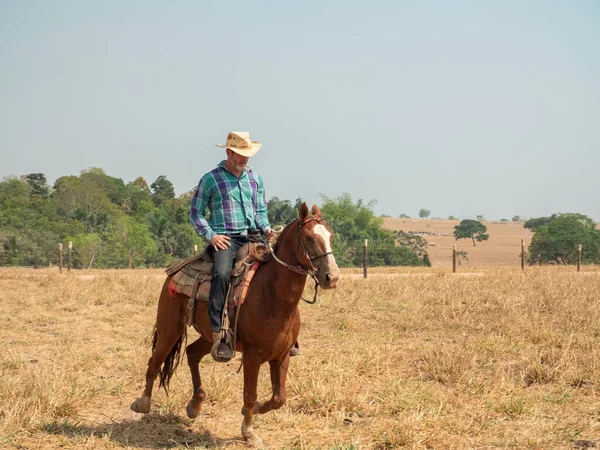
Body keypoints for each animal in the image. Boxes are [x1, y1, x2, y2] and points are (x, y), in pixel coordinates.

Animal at [131, 203, 338, 446]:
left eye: (330, 236)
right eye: (309, 238)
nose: (332, 277)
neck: (272, 294)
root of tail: (176, 269)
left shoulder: (282, 355)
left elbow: (279, 398)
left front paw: (257, 409)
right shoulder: (252, 355)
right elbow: (250, 394)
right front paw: (249, 433)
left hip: (213, 338)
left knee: (192, 353)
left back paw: (195, 404)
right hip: (169, 328)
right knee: (155, 361)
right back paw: (143, 403)